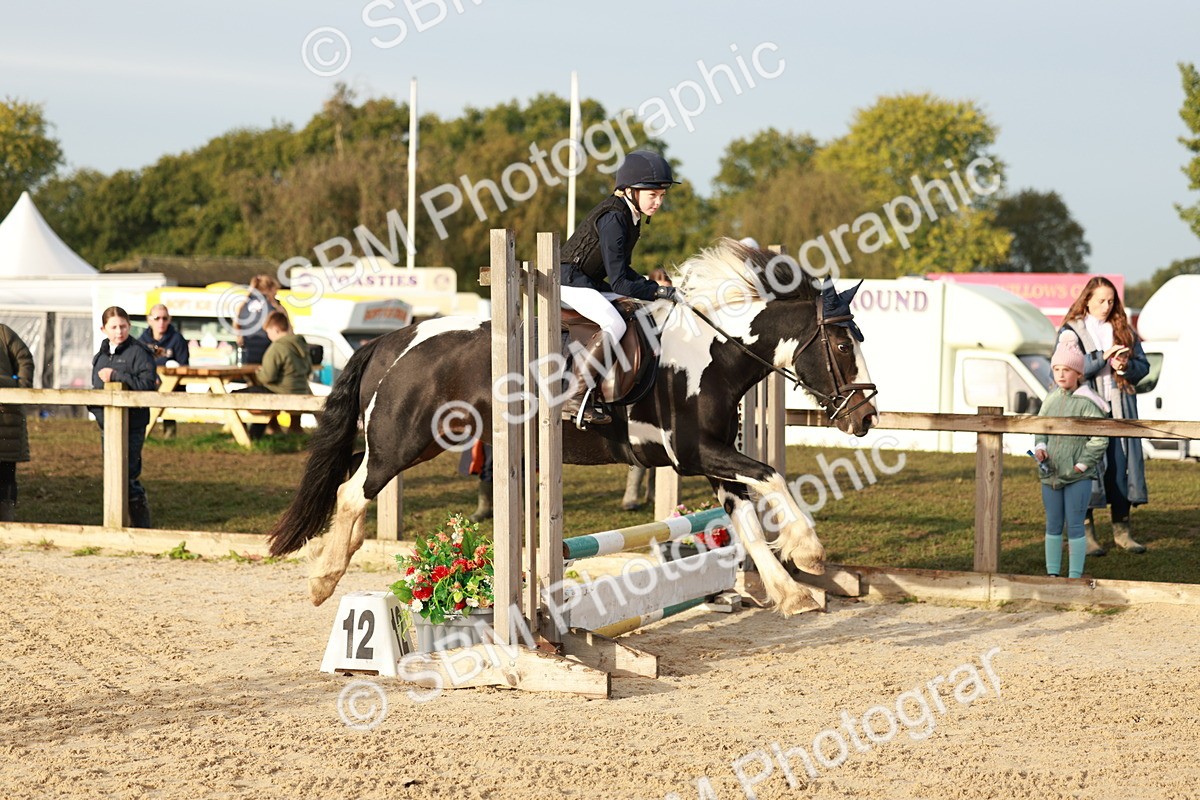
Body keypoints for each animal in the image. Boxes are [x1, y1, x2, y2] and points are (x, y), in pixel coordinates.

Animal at [267, 239, 878, 615]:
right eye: (841, 345)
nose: (867, 417)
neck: (711, 353)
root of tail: (394, 339)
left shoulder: (711, 460)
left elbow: (749, 522)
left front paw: (791, 592)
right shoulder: (696, 452)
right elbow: (772, 475)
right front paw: (810, 554)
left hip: (422, 440)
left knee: (353, 485)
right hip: (404, 439)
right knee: (354, 490)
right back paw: (323, 581)